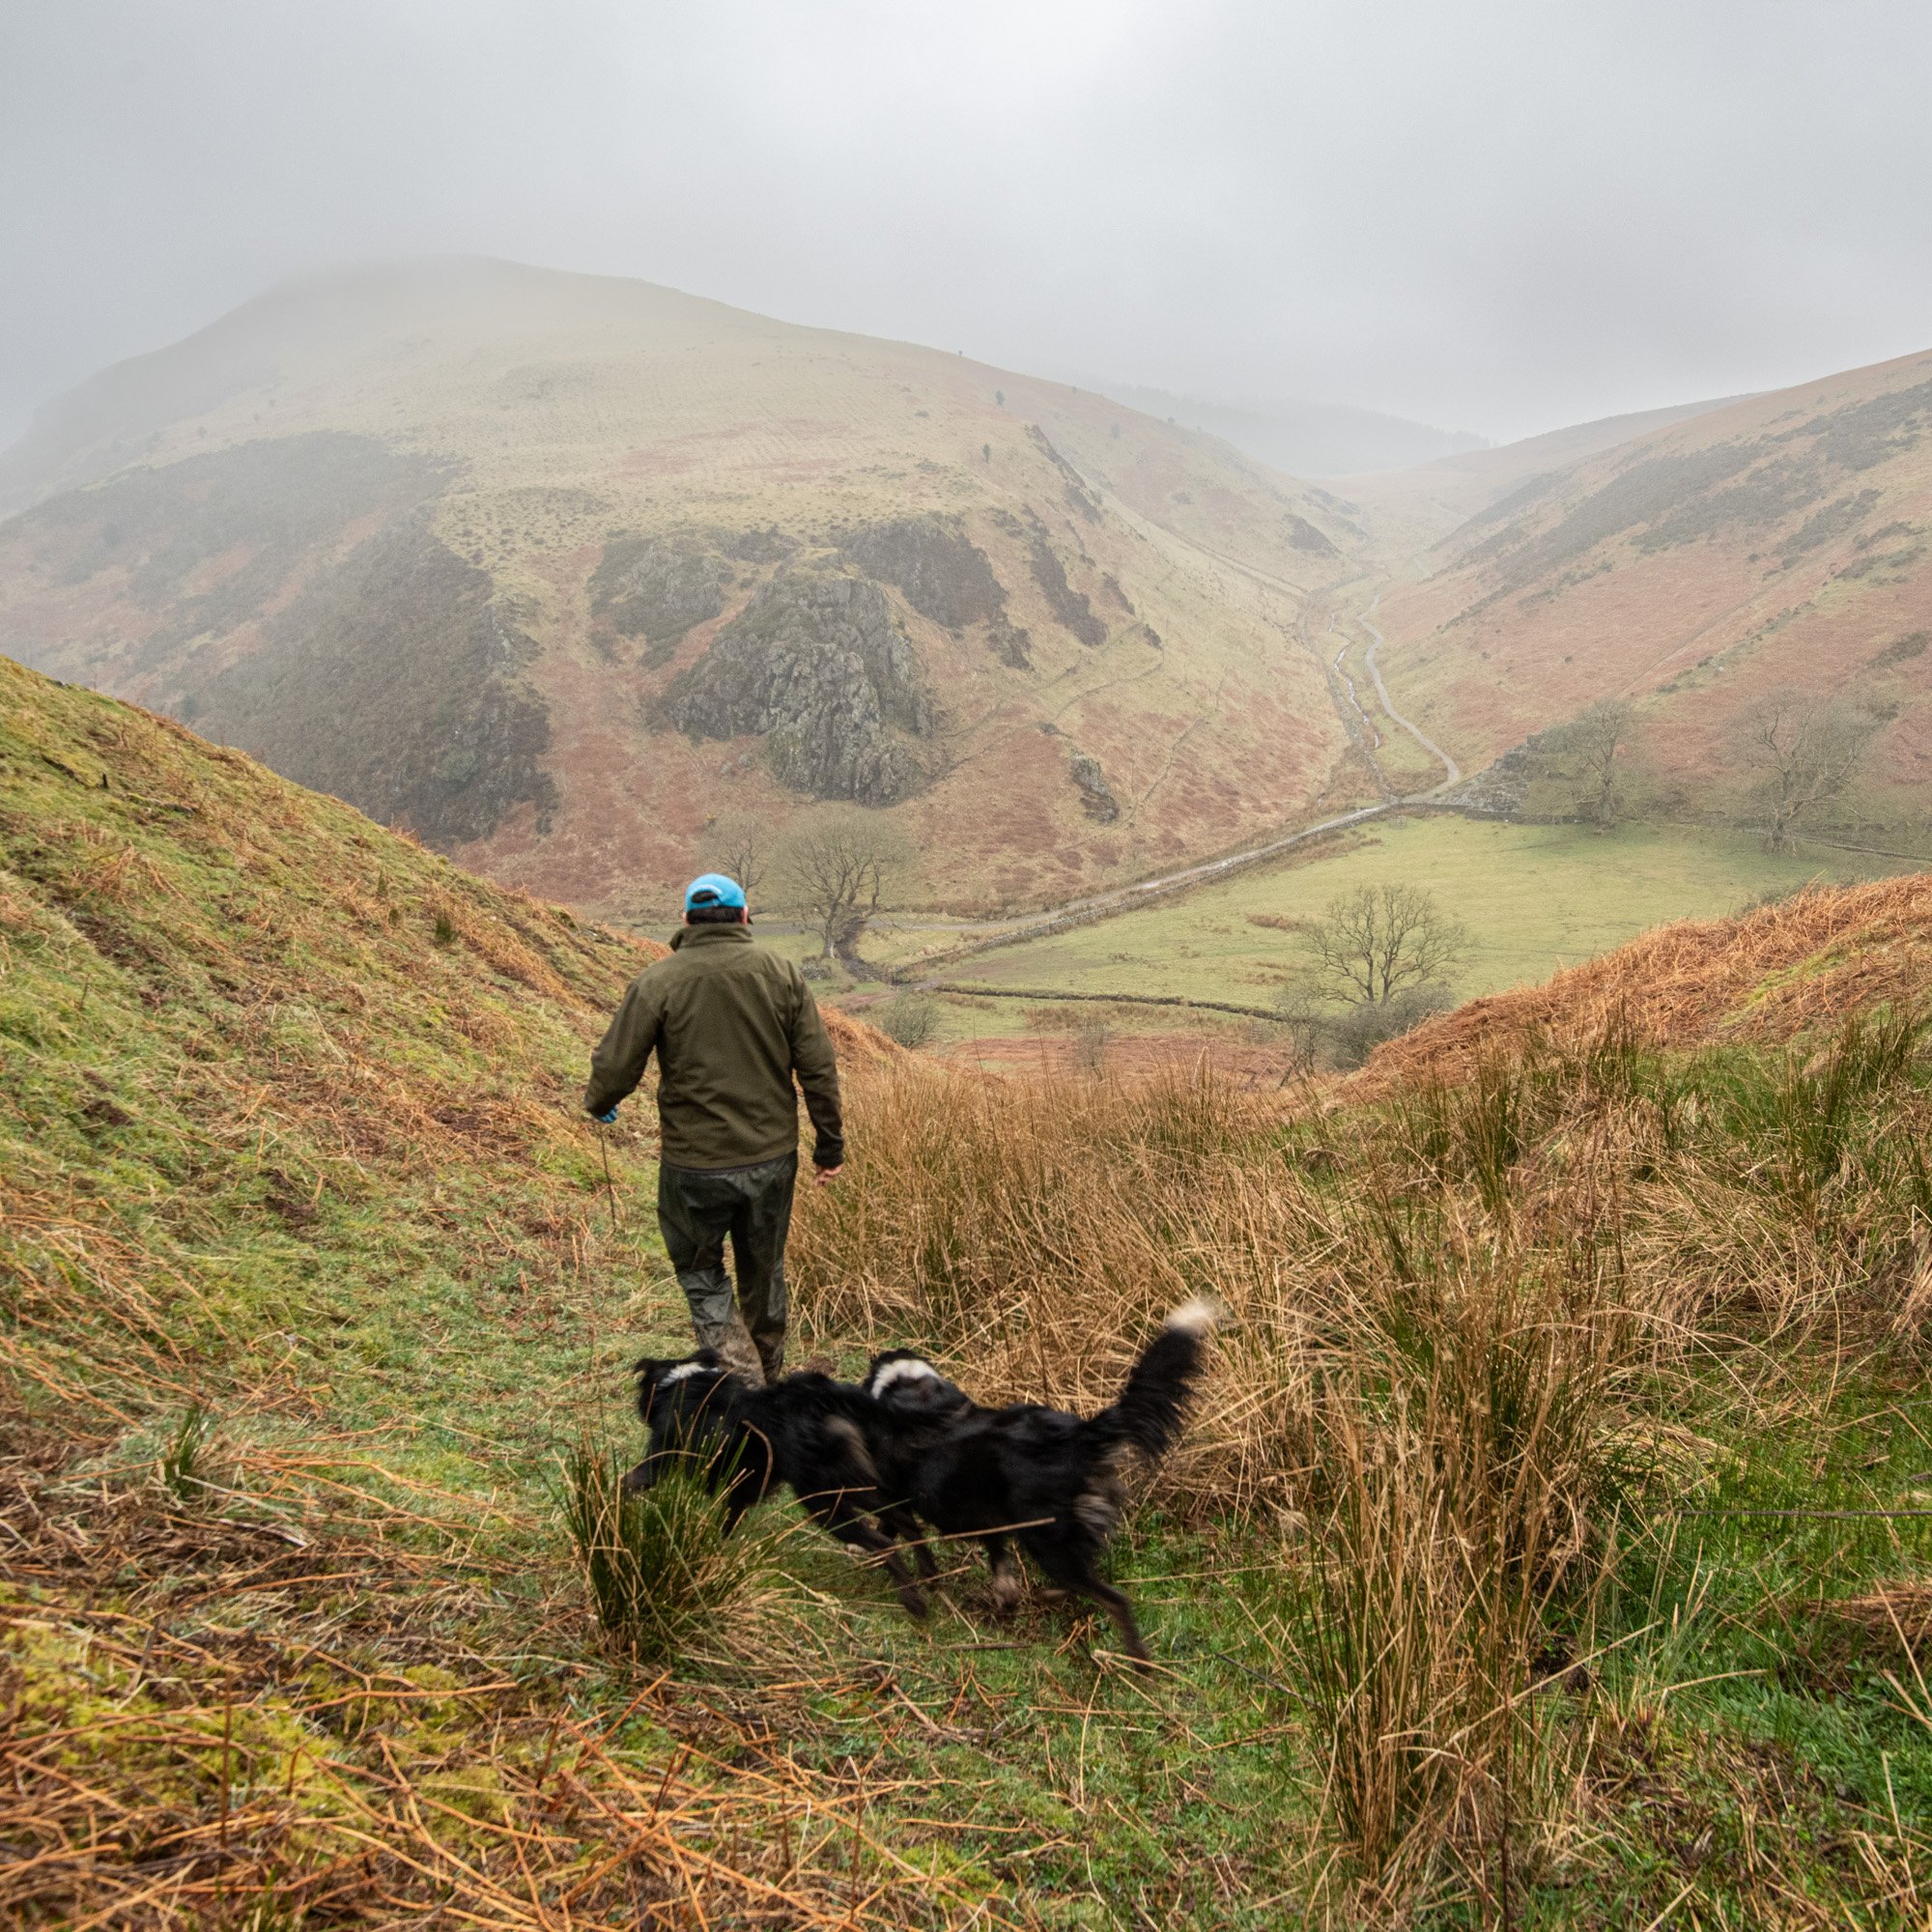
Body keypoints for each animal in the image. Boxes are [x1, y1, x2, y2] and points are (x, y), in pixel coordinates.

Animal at [626, 1352, 935, 1623]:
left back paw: (914, 1602)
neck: (683, 1383)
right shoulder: (737, 1490)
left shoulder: (659, 1460)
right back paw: (930, 1575)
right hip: (855, 1485)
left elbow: (629, 1481)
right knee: (906, 1520)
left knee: (884, 1543)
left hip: (823, 1499)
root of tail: (826, 1401)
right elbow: (728, 1522)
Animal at [858, 1306, 1213, 1669]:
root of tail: (1078, 1437)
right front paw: (1006, 1594)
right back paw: (1048, 1596)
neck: (902, 1385)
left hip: (1046, 1541)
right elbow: (998, 1560)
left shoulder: (897, 1498)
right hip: (1063, 1534)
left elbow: (893, 1533)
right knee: (1083, 1579)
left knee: (1113, 1599)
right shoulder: (988, 1518)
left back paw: (1139, 1662)